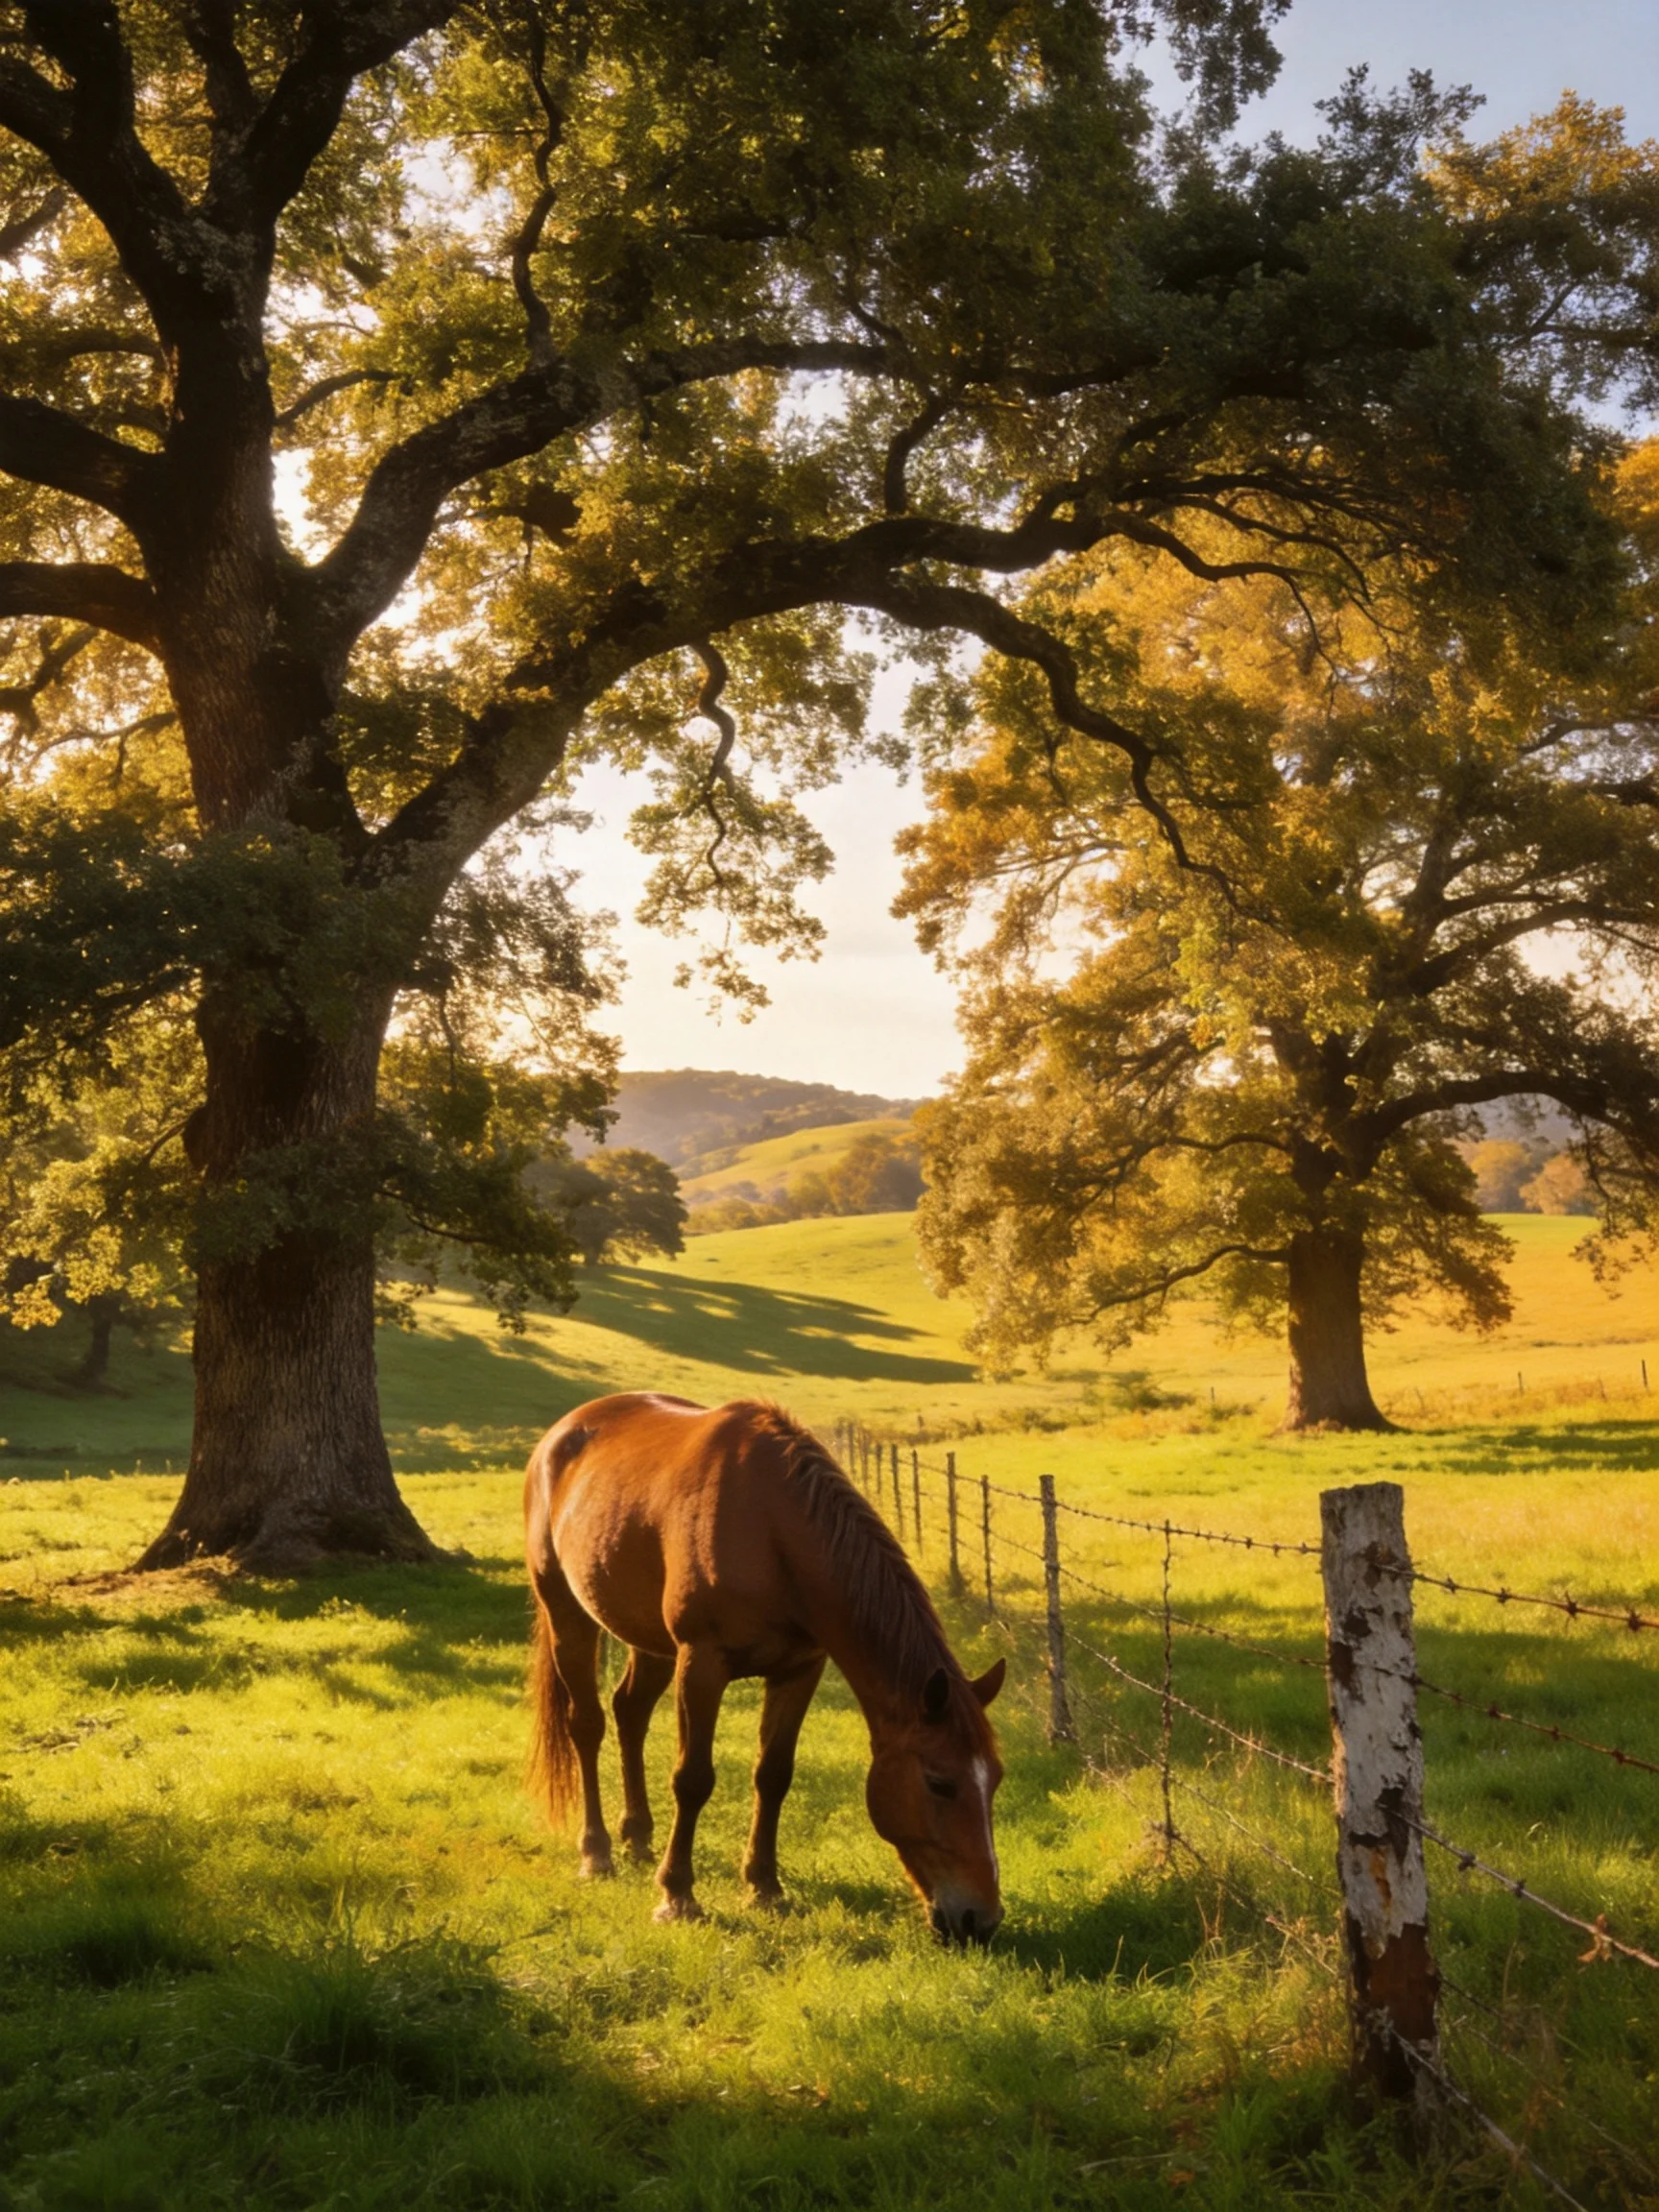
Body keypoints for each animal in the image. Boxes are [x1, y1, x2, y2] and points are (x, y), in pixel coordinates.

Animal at [523, 1392, 1005, 1940]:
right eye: (940, 1783)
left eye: (996, 1779)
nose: (981, 1920)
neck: (773, 1531)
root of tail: (560, 1434)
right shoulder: (702, 1663)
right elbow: (693, 1779)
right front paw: (677, 1895)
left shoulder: (799, 1670)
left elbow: (774, 1775)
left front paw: (764, 1887)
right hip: (567, 1614)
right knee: (587, 1725)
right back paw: (597, 1852)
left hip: (648, 1640)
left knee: (631, 1714)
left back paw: (638, 1837)